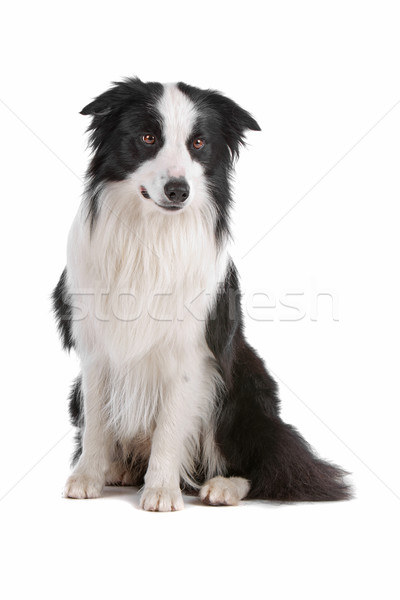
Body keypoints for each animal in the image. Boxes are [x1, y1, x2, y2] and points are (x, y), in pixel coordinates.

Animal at [53, 78, 350, 510]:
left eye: (198, 143)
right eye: (148, 137)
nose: (178, 190)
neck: (151, 235)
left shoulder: (189, 354)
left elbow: (169, 426)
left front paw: (161, 489)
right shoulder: (94, 351)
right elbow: (97, 423)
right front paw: (88, 476)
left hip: (242, 383)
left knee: (261, 465)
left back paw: (222, 486)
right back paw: (121, 468)